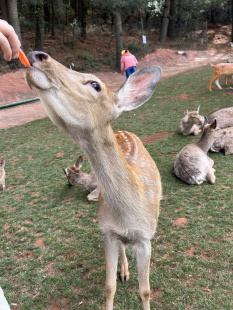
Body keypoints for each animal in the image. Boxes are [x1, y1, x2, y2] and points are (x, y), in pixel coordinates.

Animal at [24, 51, 162, 310]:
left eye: (95, 84)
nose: (37, 55)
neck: (129, 213)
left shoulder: (146, 236)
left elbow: (146, 290)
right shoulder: (107, 229)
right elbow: (109, 286)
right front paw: (119, 277)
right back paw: (124, 271)